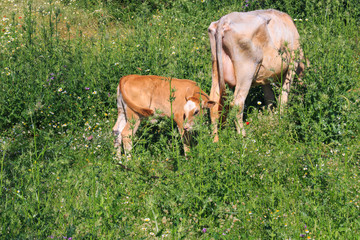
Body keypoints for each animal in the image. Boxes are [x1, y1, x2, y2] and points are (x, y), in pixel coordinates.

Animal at [207, 8, 306, 141]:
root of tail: (225, 20)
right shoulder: (292, 64)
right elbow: (283, 97)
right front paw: (281, 119)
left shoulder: (265, 76)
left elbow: (269, 97)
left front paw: (271, 118)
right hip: (246, 70)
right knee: (237, 103)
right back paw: (243, 135)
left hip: (216, 69)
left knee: (213, 103)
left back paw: (215, 140)